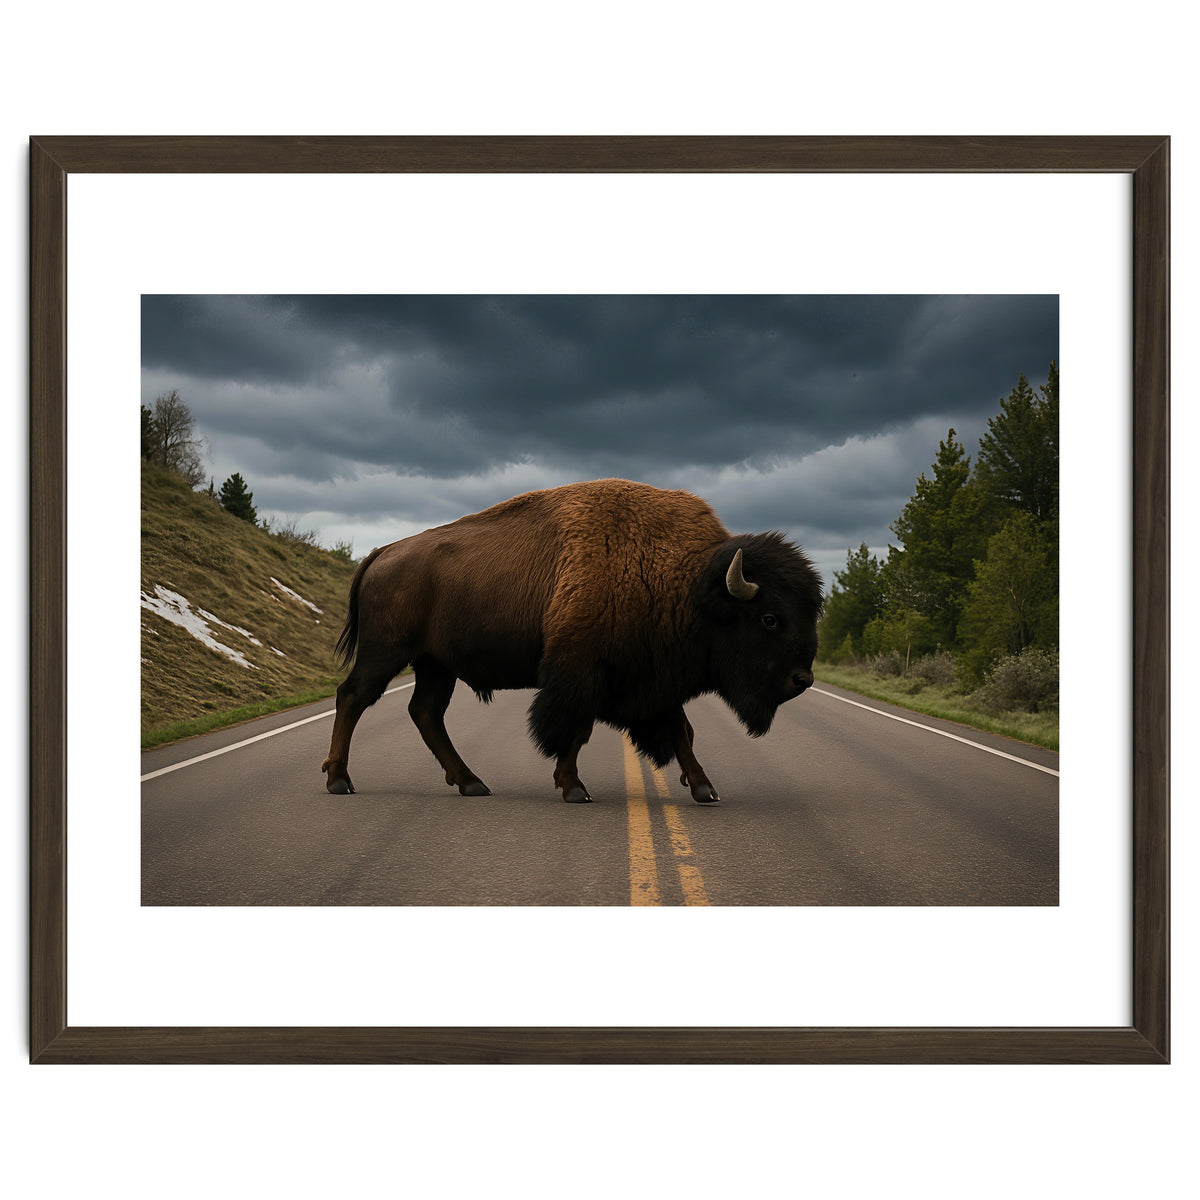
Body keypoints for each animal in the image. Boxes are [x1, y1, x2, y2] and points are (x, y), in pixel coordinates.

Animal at [322, 479, 823, 803]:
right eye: (770, 618)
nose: (803, 679)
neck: (687, 582)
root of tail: (382, 552)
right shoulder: (581, 673)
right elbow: (575, 730)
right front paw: (574, 787)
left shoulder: (653, 681)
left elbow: (680, 730)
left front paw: (704, 788)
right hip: (387, 652)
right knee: (353, 697)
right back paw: (339, 781)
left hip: (434, 665)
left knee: (425, 712)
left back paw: (471, 783)